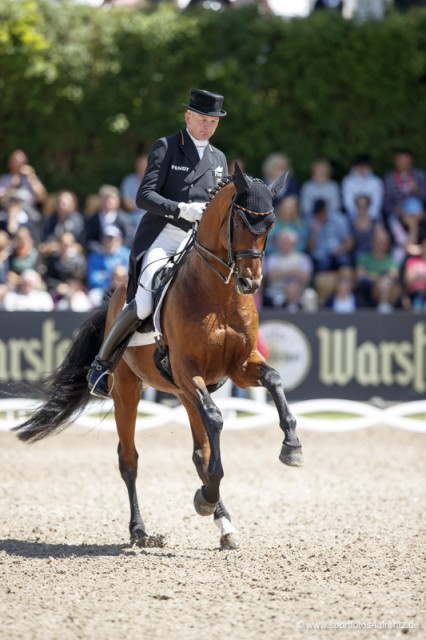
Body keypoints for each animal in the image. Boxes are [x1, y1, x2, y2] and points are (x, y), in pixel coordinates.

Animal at [14, 165, 302, 552]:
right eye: (240, 222)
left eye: (269, 224)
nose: (250, 283)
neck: (220, 294)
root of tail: (116, 297)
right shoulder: (187, 371)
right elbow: (216, 417)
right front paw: (206, 496)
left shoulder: (238, 367)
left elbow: (273, 380)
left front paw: (291, 447)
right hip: (128, 390)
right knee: (129, 458)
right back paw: (141, 530)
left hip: (183, 393)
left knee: (200, 452)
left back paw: (222, 520)